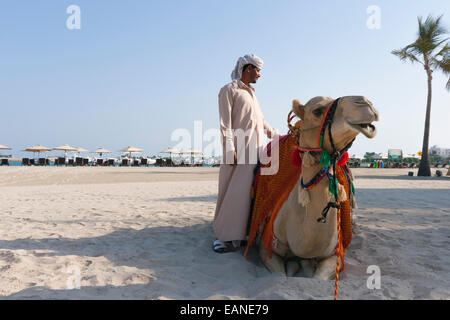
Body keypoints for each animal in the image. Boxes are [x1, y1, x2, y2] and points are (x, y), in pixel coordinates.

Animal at [253, 95, 380, 280]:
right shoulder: (266, 247)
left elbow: (318, 277)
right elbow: (281, 275)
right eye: (317, 111)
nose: (366, 103)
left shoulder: (335, 254)